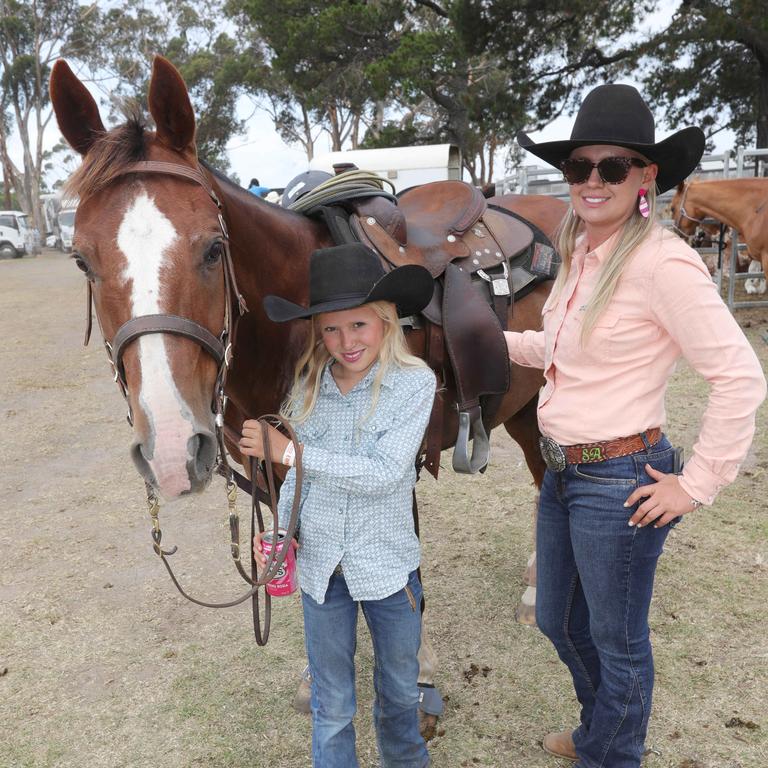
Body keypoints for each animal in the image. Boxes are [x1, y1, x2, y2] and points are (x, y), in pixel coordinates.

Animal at [48, 55, 564, 736]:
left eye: (213, 249)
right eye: (82, 261)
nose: (172, 449)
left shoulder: (390, 459)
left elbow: (401, 572)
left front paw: (418, 673)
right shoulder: (275, 467)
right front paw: (314, 676)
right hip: (523, 408)